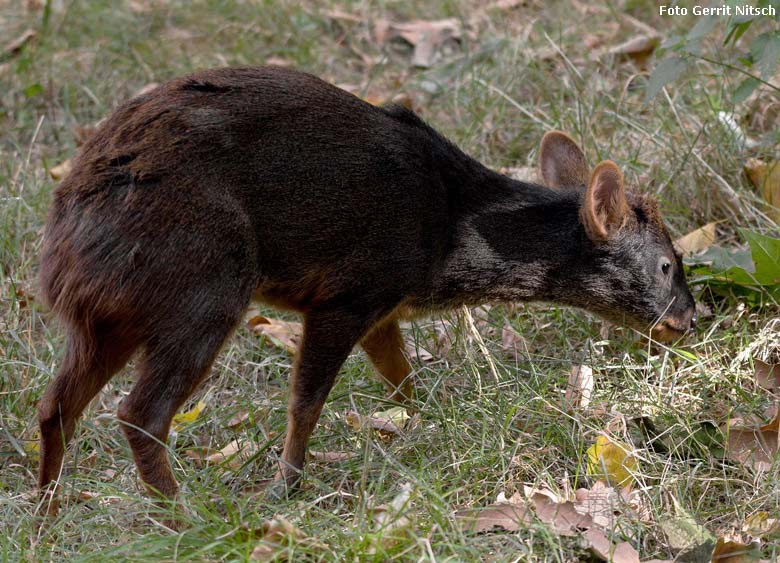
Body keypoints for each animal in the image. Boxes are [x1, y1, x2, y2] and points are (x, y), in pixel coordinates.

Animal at [36, 65, 696, 516]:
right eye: (668, 265)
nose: (689, 318)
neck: (448, 235)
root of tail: (60, 249)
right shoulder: (347, 291)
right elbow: (305, 402)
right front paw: (284, 488)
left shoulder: (384, 307)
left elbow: (401, 378)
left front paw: (429, 426)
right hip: (207, 283)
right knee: (138, 412)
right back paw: (182, 517)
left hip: (110, 314)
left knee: (55, 405)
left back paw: (45, 513)